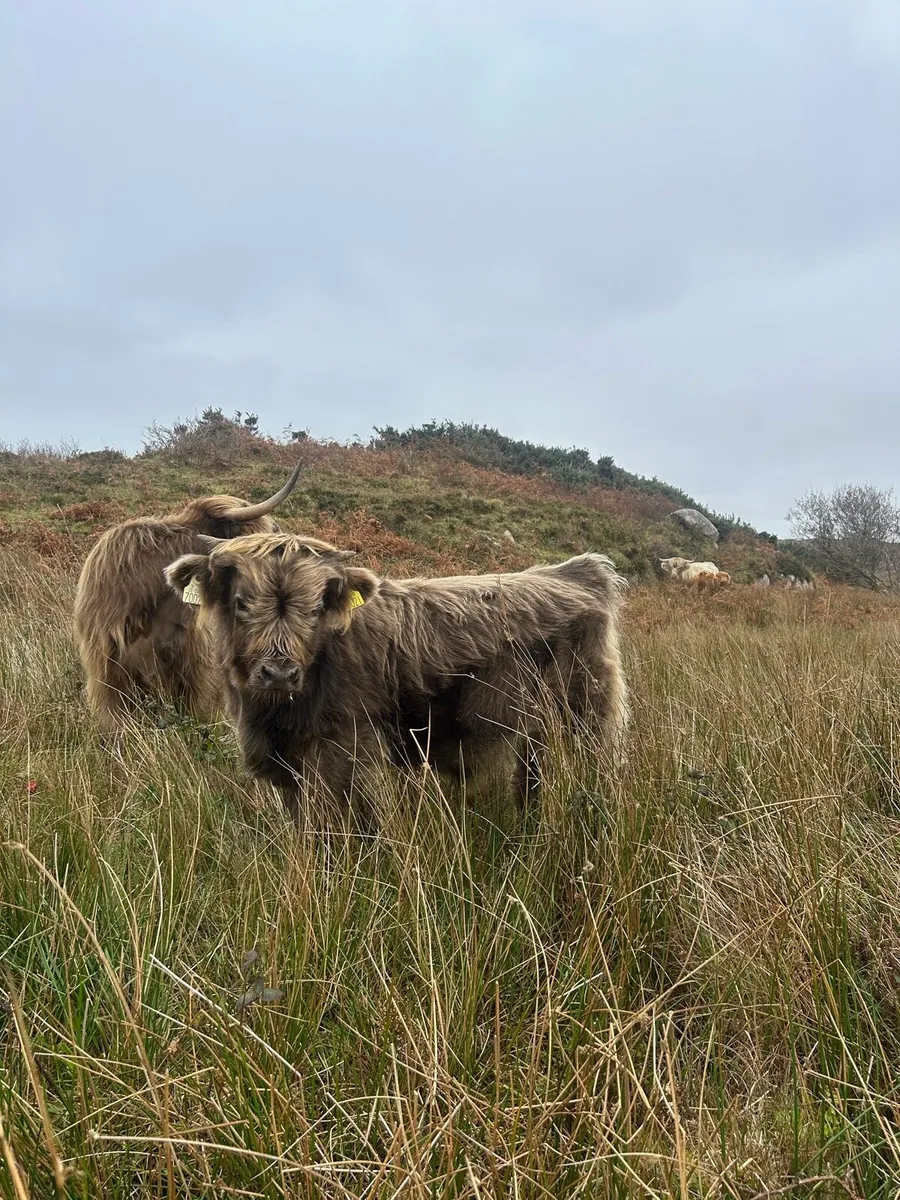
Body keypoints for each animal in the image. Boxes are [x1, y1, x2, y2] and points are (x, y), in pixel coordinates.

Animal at [165, 534, 629, 823]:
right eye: (241, 603)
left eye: (316, 608)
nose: (279, 673)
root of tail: (578, 573)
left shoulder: (342, 753)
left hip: (581, 722)